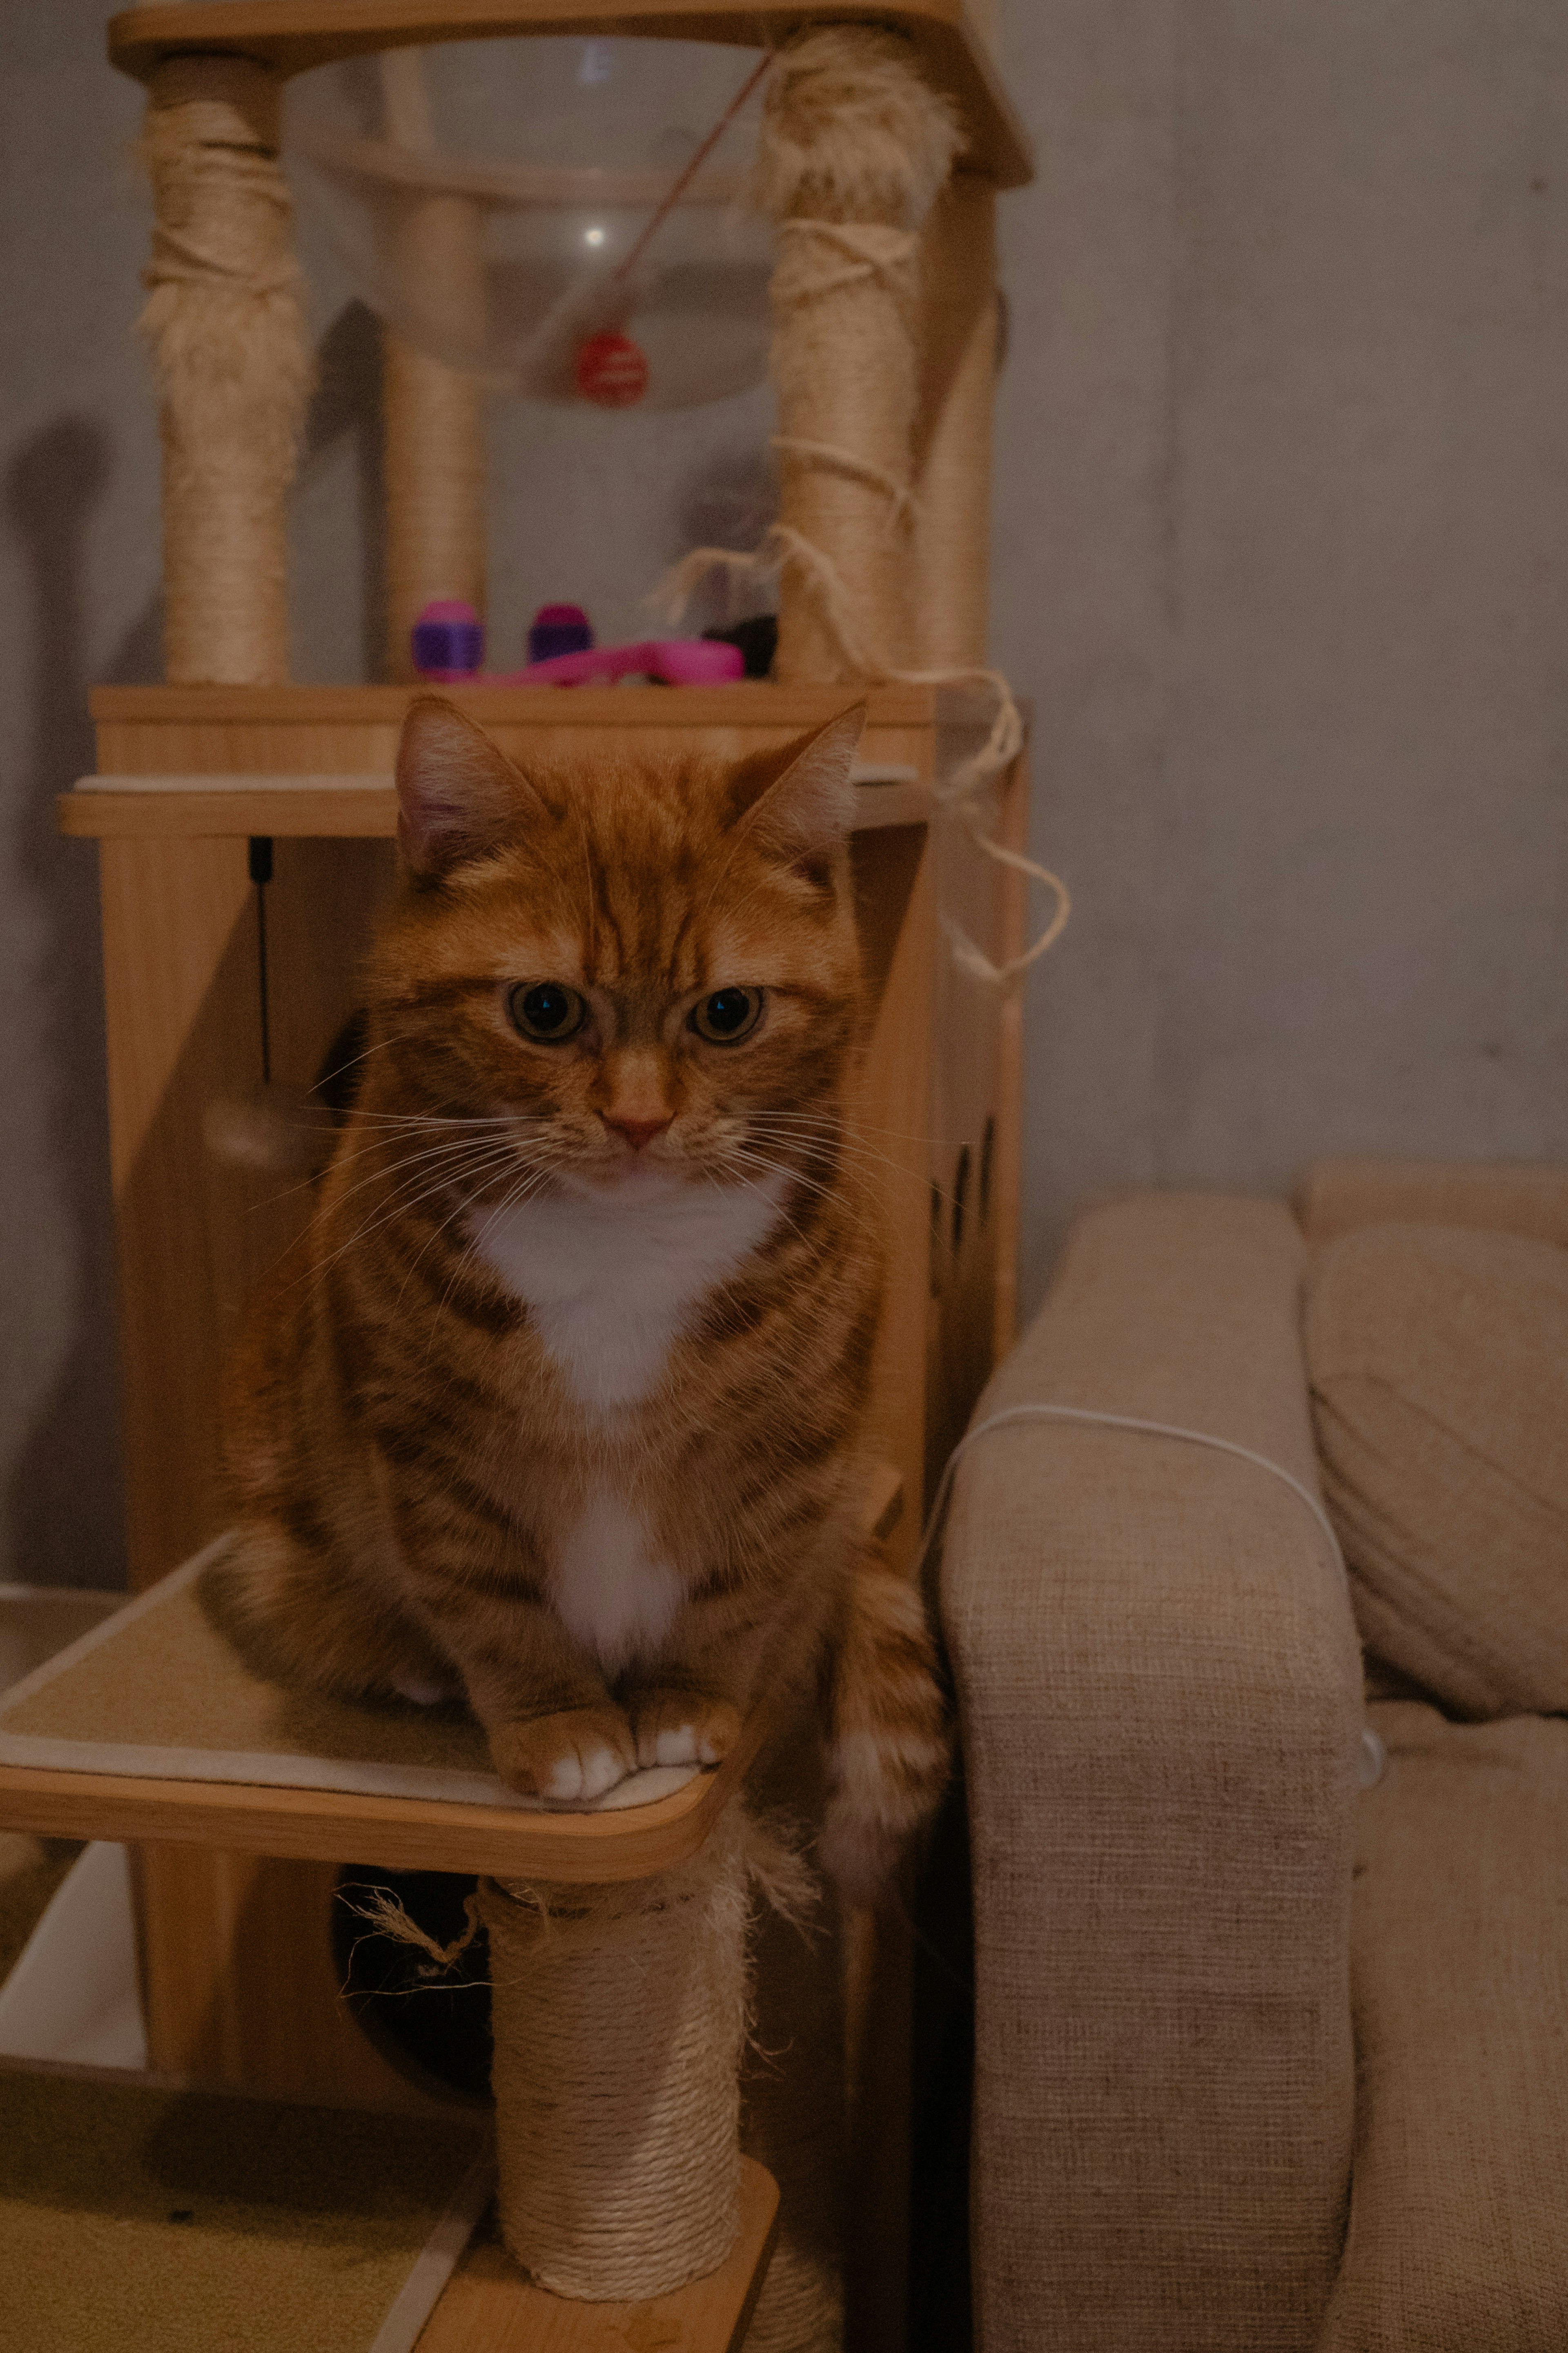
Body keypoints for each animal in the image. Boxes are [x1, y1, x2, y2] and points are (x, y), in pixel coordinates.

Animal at [216, 691, 949, 1891]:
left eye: (729, 1013)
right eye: (545, 1011)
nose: (640, 1120)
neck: (621, 1254)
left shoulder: (793, 1452)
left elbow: (735, 1596)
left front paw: (689, 1709)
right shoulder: (428, 1449)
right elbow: (490, 1601)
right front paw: (557, 1727)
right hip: (268, 1511)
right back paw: (408, 1663)